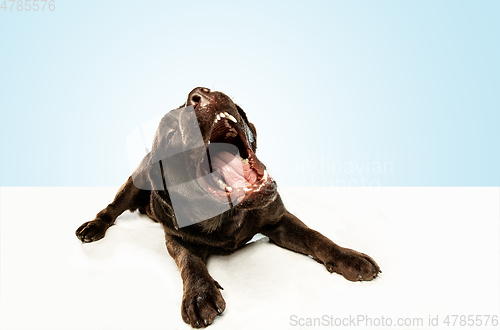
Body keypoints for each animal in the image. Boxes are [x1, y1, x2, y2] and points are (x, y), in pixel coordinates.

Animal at [74, 87, 380, 328]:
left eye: (204, 91)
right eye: (171, 132)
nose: (198, 93)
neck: (226, 213)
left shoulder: (279, 220)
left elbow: (316, 236)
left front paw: (348, 257)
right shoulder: (175, 239)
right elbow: (190, 261)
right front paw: (200, 293)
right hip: (133, 183)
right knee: (111, 208)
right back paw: (93, 226)